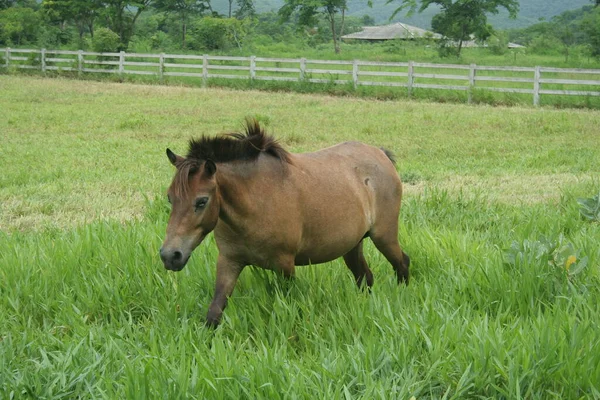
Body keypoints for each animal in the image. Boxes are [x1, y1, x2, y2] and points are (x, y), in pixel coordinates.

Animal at [162, 118, 410, 324]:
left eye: (201, 201)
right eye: (170, 198)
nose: (169, 256)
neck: (256, 202)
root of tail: (380, 154)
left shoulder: (284, 267)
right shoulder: (229, 261)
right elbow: (214, 312)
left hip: (384, 237)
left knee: (402, 264)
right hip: (352, 246)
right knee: (365, 278)